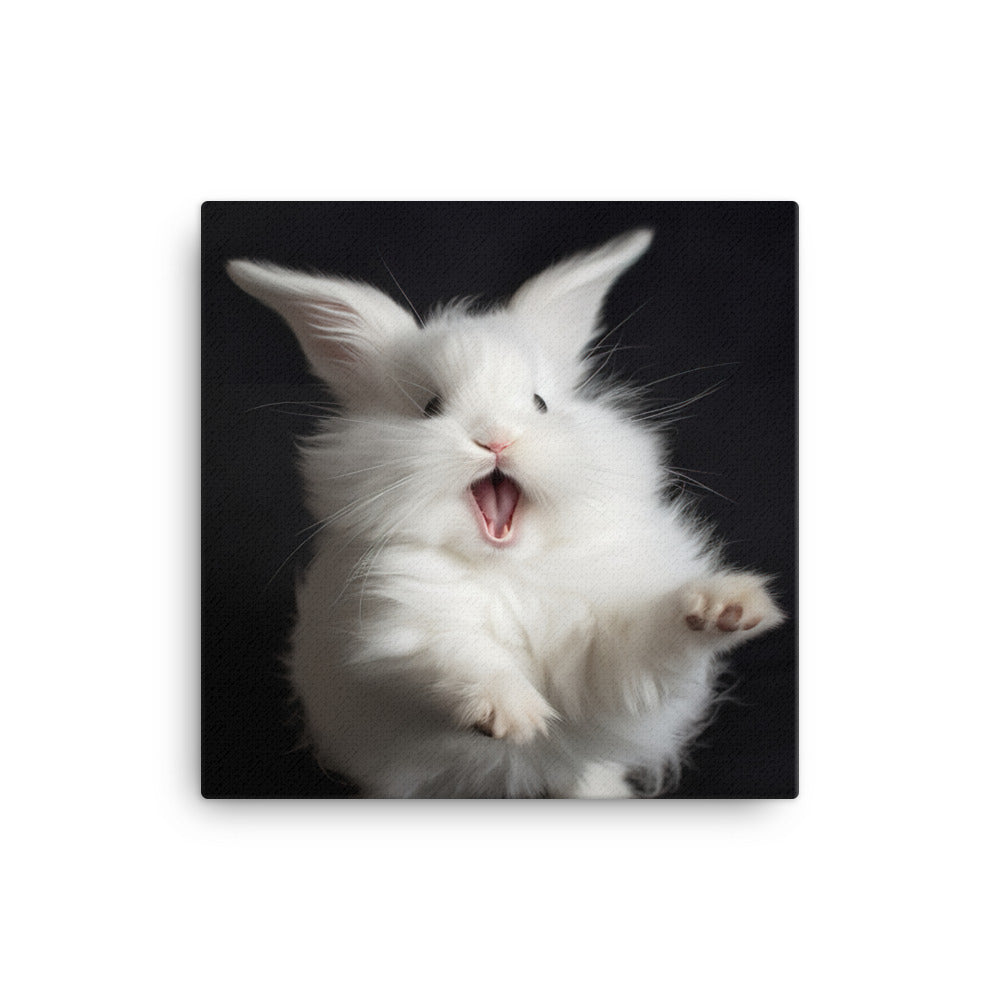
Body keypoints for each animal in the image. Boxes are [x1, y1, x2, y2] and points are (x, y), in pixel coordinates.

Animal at [227, 229, 783, 798]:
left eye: (539, 403)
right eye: (430, 407)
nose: (495, 439)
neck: (507, 567)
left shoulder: (607, 656)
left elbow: (647, 643)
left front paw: (725, 607)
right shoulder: (398, 629)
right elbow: (455, 658)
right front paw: (511, 715)